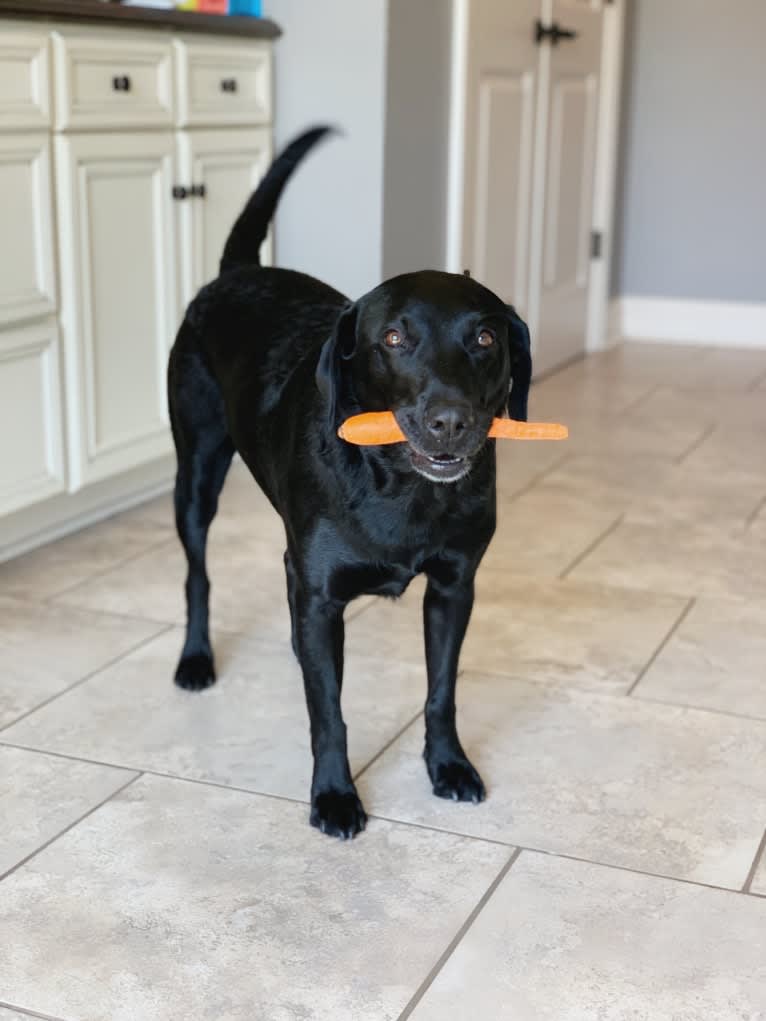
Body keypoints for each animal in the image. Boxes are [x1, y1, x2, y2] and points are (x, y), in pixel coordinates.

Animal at [167, 127, 531, 837]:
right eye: (391, 338)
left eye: (484, 338)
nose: (451, 422)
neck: (401, 488)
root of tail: (236, 274)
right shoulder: (318, 592)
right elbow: (327, 710)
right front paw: (334, 794)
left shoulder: (454, 588)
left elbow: (441, 691)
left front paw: (448, 766)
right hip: (195, 474)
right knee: (198, 573)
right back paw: (196, 659)